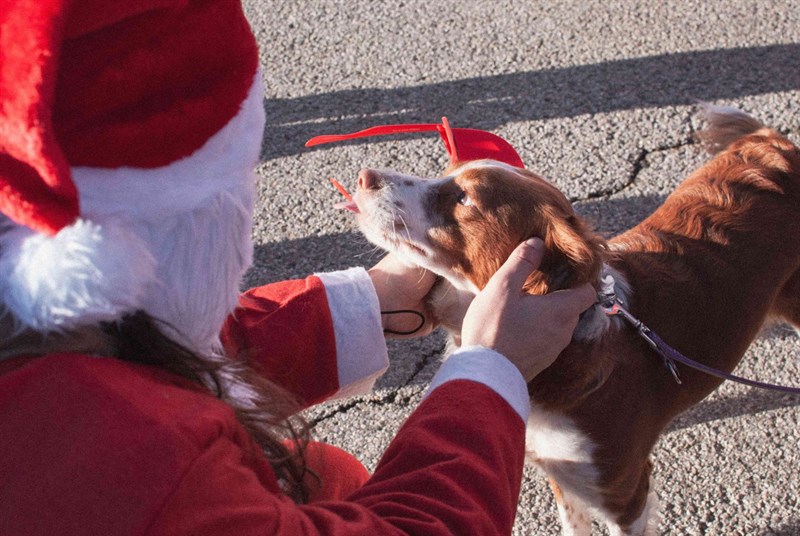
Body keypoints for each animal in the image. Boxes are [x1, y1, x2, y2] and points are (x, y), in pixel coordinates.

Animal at [350, 105, 800, 536]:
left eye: (464, 199)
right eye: (445, 171)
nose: (364, 176)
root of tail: (771, 141)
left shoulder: (626, 495)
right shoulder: (558, 471)